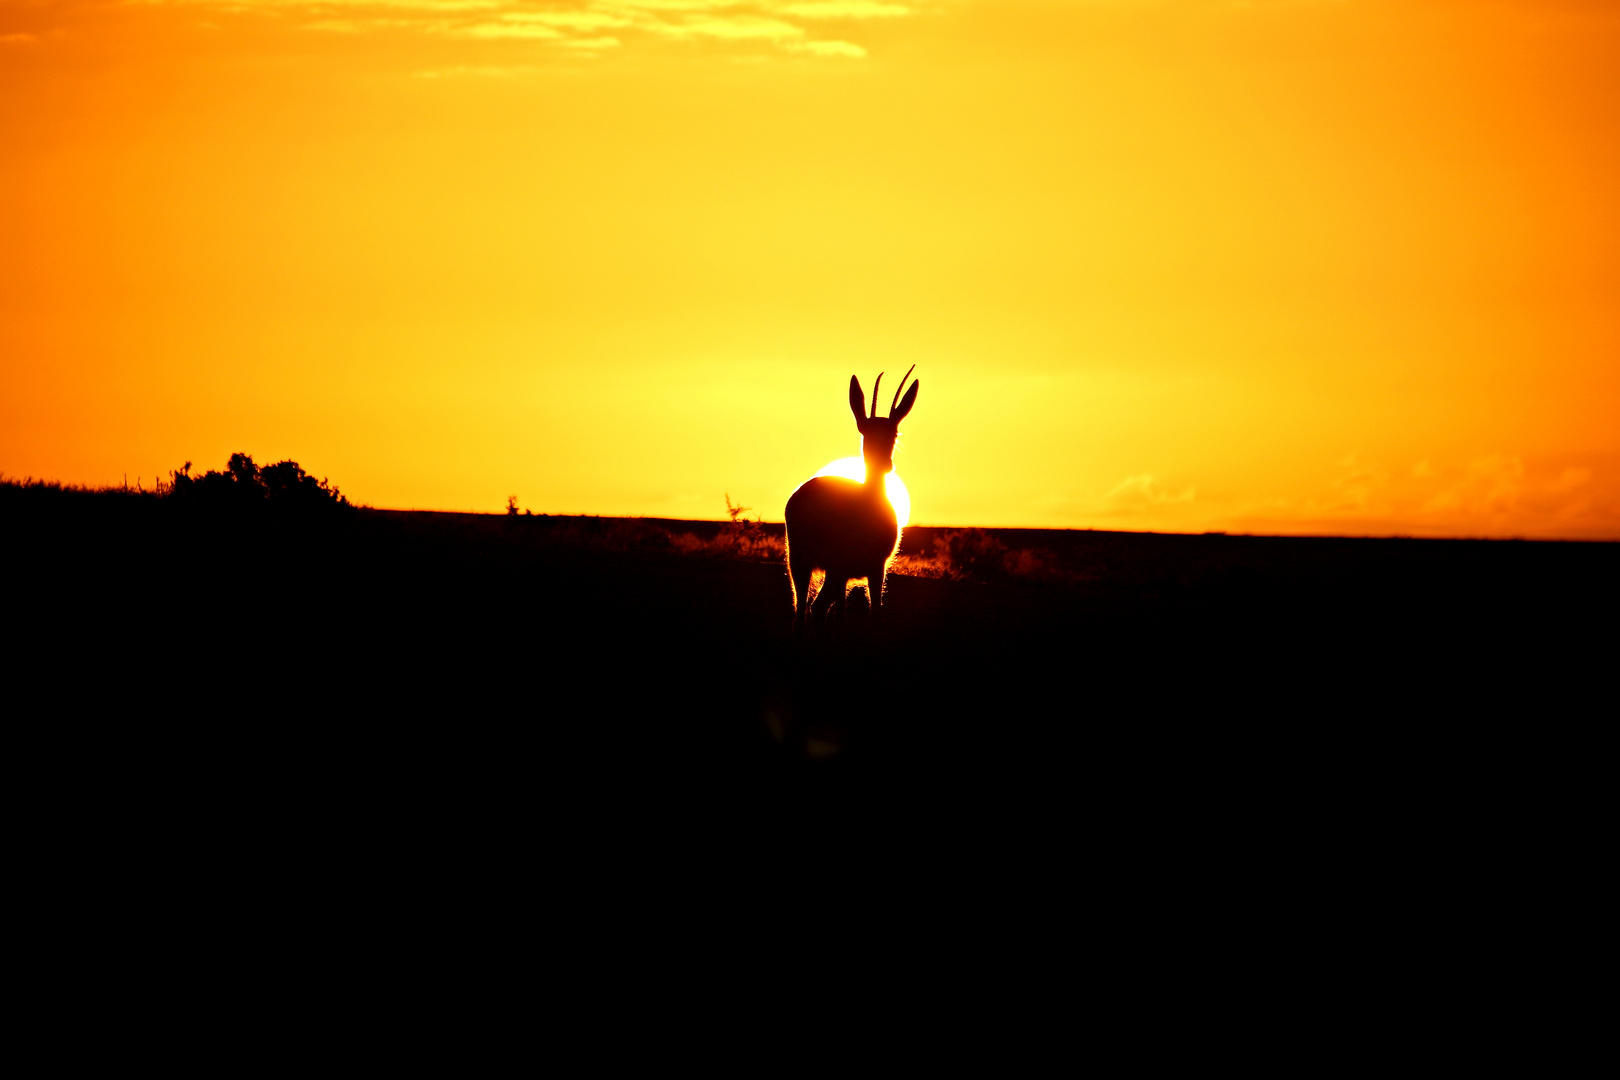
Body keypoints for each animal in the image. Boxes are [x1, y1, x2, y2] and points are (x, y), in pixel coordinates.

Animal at [787, 369, 920, 628]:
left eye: (894, 433)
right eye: (865, 433)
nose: (884, 463)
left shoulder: (858, 569)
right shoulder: (870, 567)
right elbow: (873, 610)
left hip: (807, 563)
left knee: (805, 608)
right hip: (820, 563)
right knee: (814, 606)